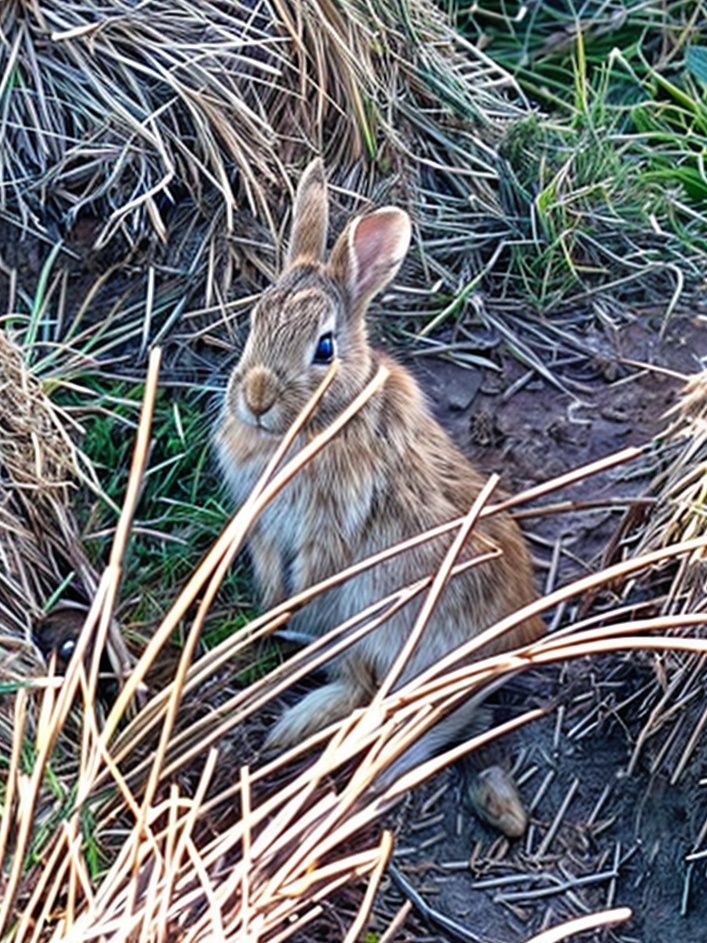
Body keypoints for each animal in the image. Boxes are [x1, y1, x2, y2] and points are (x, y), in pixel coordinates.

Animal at [215, 158, 544, 792]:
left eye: (324, 348)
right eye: (253, 319)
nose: (257, 398)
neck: (320, 420)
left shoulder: (328, 524)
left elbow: (312, 572)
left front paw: (282, 619)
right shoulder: (262, 525)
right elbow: (269, 569)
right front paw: (266, 614)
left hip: (375, 609)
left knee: (366, 685)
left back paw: (295, 727)